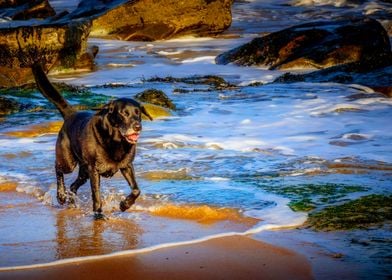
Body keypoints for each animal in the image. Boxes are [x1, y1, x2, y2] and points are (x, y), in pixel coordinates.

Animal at [32, 64, 152, 220]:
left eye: (139, 113)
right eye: (124, 113)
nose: (138, 126)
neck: (116, 141)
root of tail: (71, 114)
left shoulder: (126, 166)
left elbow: (136, 190)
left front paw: (124, 205)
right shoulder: (94, 170)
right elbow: (96, 195)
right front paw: (98, 215)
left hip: (84, 171)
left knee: (73, 186)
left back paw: (71, 203)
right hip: (69, 162)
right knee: (58, 168)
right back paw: (61, 196)